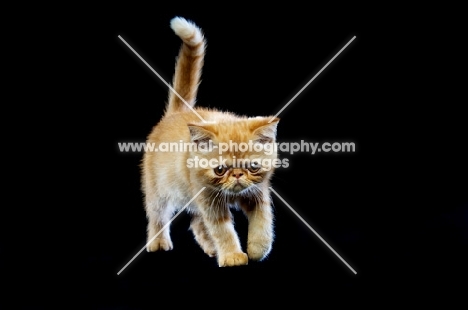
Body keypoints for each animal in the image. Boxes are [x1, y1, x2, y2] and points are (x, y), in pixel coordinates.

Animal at [143, 16, 280, 266]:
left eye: (253, 167)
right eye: (220, 170)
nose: (237, 175)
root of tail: (177, 113)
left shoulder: (258, 192)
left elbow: (263, 220)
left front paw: (258, 248)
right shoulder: (209, 201)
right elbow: (222, 230)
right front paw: (233, 255)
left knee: (196, 222)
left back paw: (211, 249)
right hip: (159, 190)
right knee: (158, 215)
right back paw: (158, 242)